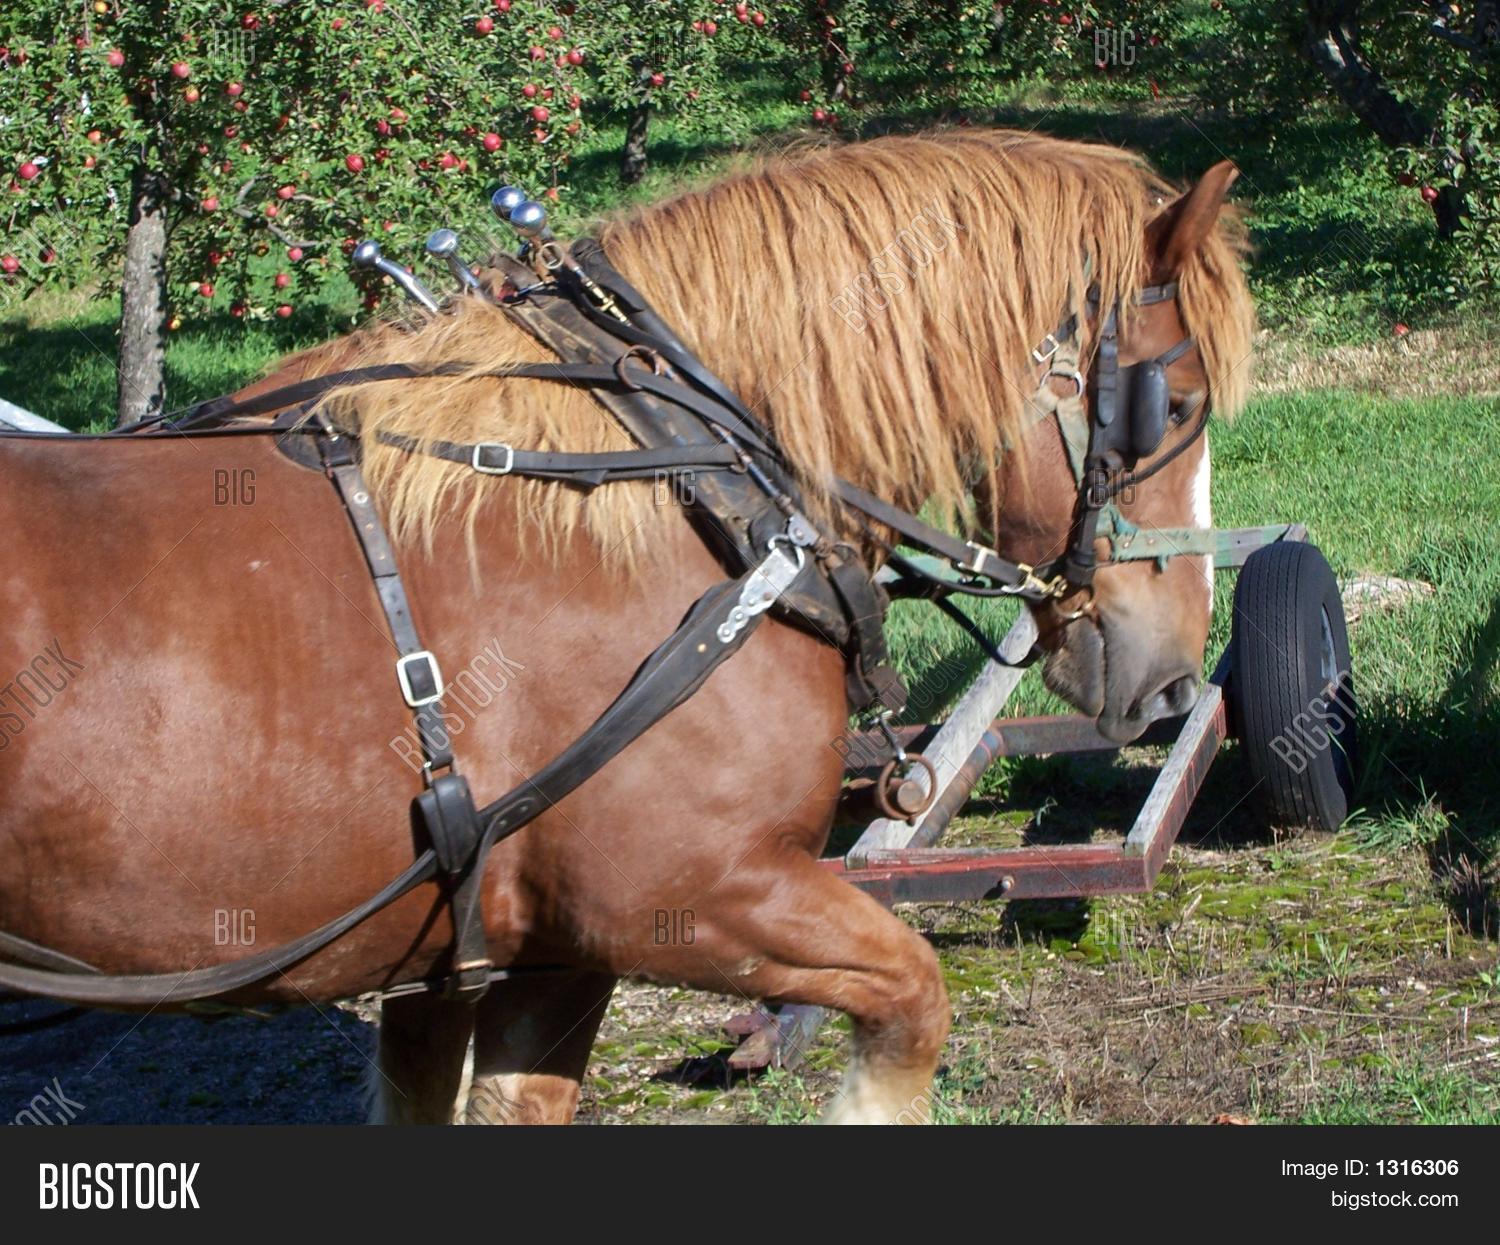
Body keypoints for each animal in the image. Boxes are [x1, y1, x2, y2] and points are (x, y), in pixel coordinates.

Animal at [0, 128, 1252, 1124]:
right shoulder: (681, 898)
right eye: (1177, 407)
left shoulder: (478, 958)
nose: (1174, 681)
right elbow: (913, 1000)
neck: (680, 473)